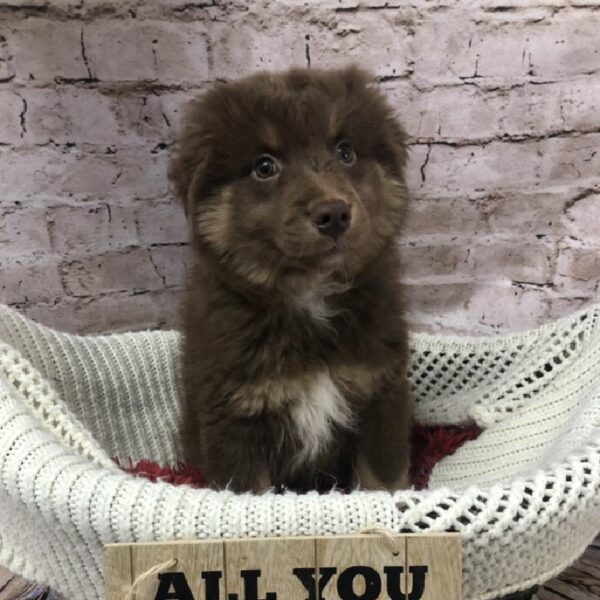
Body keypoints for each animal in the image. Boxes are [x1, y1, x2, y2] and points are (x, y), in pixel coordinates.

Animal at [169, 67, 412, 496]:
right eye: (265, 167)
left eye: (345, 152)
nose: (334, 214)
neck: (309, 296)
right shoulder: (235, 416)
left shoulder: (380, 394)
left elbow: (383, 483)